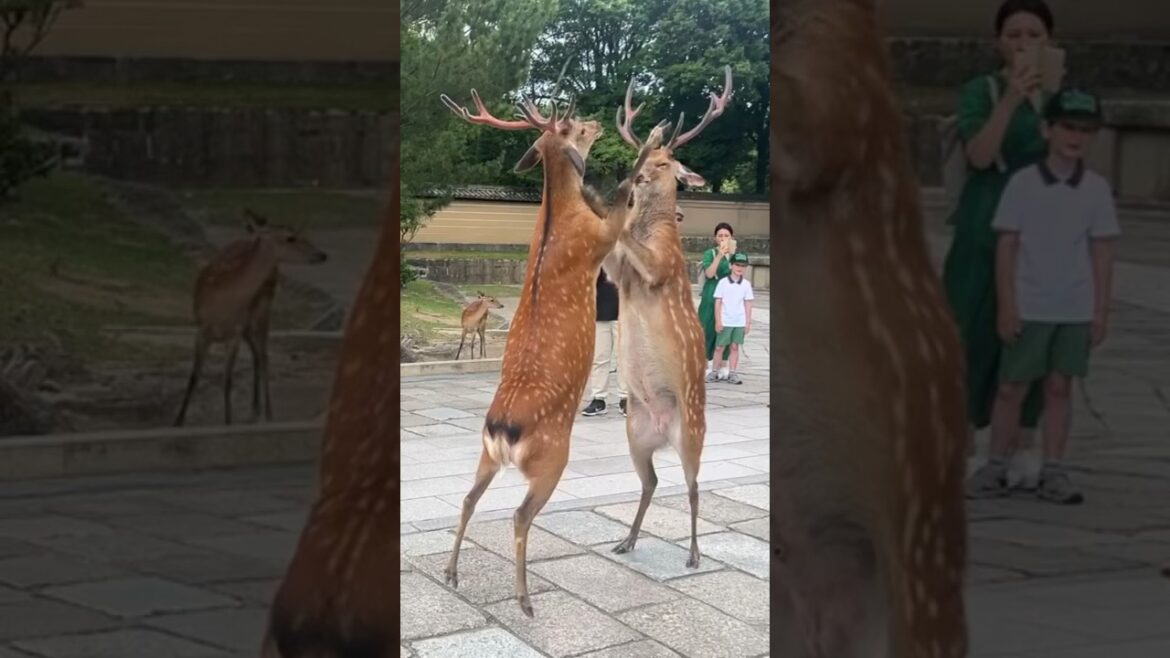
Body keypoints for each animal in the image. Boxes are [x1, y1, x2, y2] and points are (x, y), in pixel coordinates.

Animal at [173, 209, 327, 427]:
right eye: (290, 237)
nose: (321, 254)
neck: (223, 304)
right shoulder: (202, 328)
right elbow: (194, 375)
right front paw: (178, 422)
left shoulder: (235, 333)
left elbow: (227, 379)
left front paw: (228, 422)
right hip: (248, 325)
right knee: (256, 355)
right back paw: (254, 412)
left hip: (263, 311)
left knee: (264, 355)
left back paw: (268, 414)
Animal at [437, 86, 659, 618]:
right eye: (575, 126)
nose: (596, 121)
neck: (559, 211)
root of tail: (502, 429)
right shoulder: (602, 237)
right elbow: (623, 195)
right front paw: (645, 149)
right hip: (551, 459)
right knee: (519, 515)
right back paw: (524, 598)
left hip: (484, 454)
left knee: (468, 499)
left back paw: (452, 572)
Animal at [603, 66, 732, 569]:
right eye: (648, 158)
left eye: (664, 164)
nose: (637, 174)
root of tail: (661, 429)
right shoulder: (618, 274)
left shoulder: (663, 265)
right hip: (633, 433)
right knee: (652, 481)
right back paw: (626, 540)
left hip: (693, 431)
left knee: (695, 487)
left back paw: (694, 554)